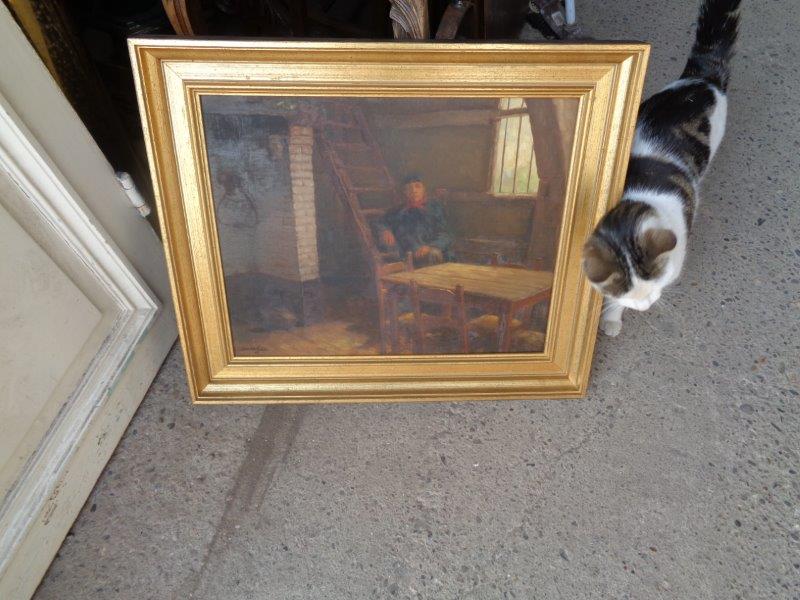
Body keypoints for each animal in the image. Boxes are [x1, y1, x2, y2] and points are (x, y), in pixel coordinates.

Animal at [582, 0, 741, 336]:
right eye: (627, 294)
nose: (644, 307)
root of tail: (701, 79)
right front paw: (613, 314)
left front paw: (611, 319)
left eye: (655, 287)